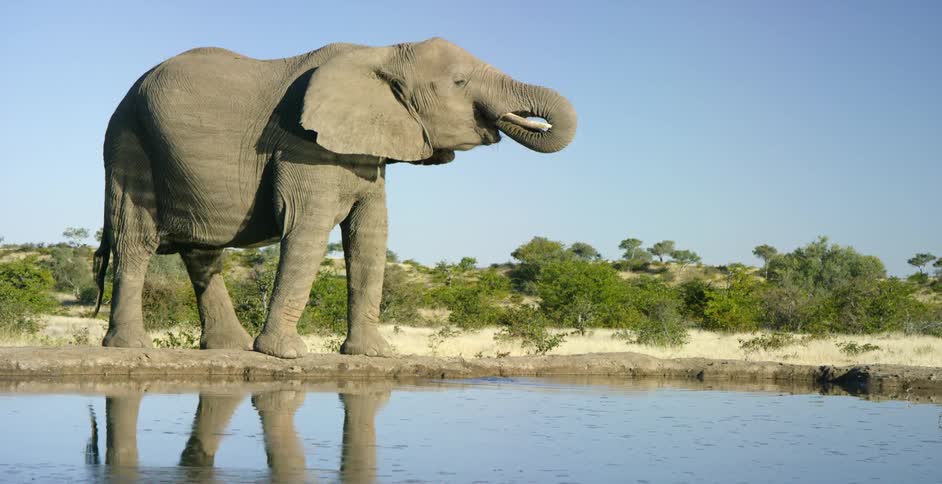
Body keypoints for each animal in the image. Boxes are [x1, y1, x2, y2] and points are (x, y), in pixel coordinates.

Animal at [92, 37, 577, 358]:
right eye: (459, 82)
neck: (382, 54)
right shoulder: (302, 143)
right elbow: (306, 229)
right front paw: (285, 355)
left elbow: (371, 235)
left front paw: (373, 355)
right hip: (129, 140)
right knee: (135, 240)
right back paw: (130, 347)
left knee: (201, 252)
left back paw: (226, 348)